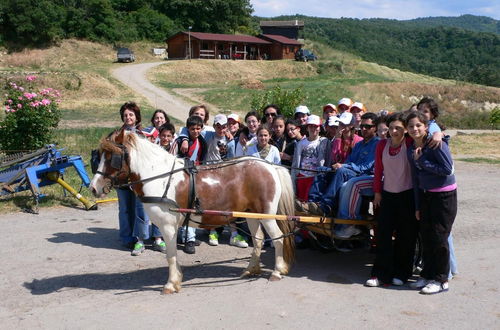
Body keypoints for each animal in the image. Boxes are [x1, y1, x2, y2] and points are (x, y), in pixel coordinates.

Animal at [90, 130, 294, 292]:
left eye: (112, 156)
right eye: (100, 155)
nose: (93, 188)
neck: (160, 178)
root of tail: (269, 166)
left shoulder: (168, 226)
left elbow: (170, 255)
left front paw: (171, 283)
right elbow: (172, 255)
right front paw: (177, 278)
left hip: (267, 215)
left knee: (278, 238)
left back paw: (277, 271)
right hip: (251, 214)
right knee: (258, 240)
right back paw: (251, 269)